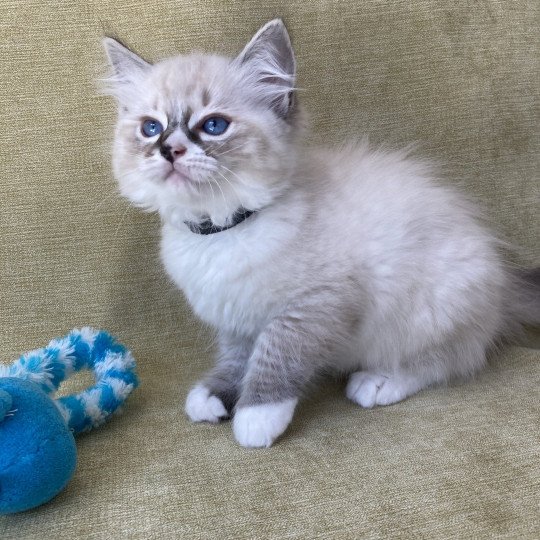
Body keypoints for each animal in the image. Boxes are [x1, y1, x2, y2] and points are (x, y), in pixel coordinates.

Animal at [103, 19, 536, 448]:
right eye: (151, 128)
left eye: (213, 126)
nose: (169, 150)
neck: (222, 228)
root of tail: (503, 284)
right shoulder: (236, 318)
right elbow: (237, 360)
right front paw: (215, 394)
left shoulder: (312, 305)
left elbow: (275, 356)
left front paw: (256, 416)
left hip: (428, 309)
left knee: (446, 361)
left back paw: (378, 382)